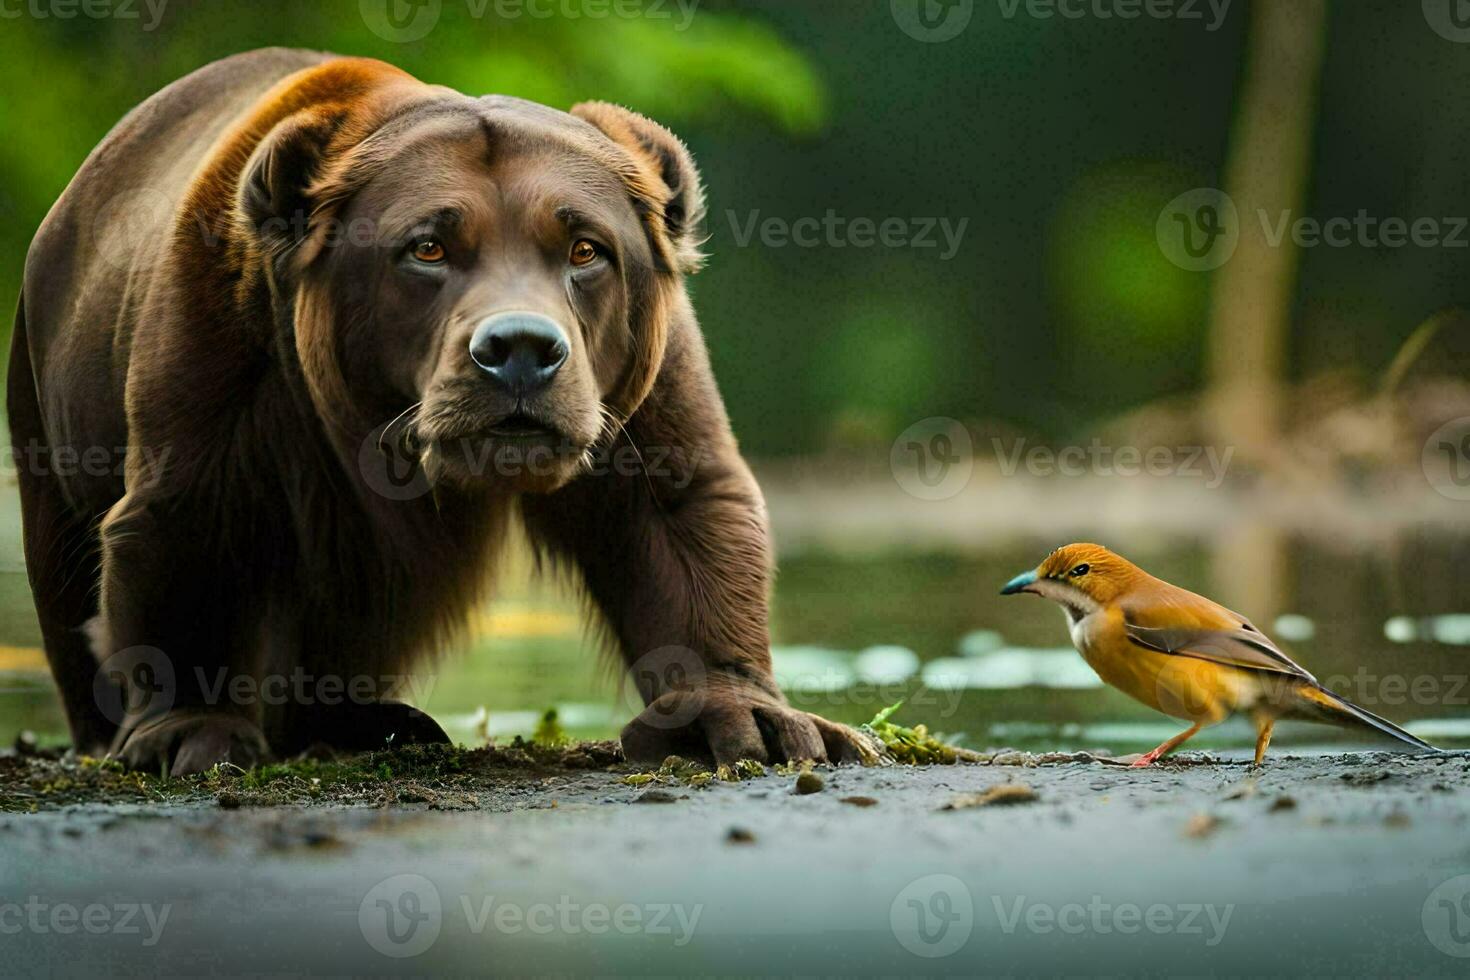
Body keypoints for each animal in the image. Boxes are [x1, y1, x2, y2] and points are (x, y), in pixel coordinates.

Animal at [11, 47, 864, 775]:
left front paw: (749, 717)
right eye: (428, 248)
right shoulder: (223, 351)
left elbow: (677, 510)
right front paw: (191, 730)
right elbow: (191, 523)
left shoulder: (639, 384)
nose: (520, 347)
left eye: (585, 249)